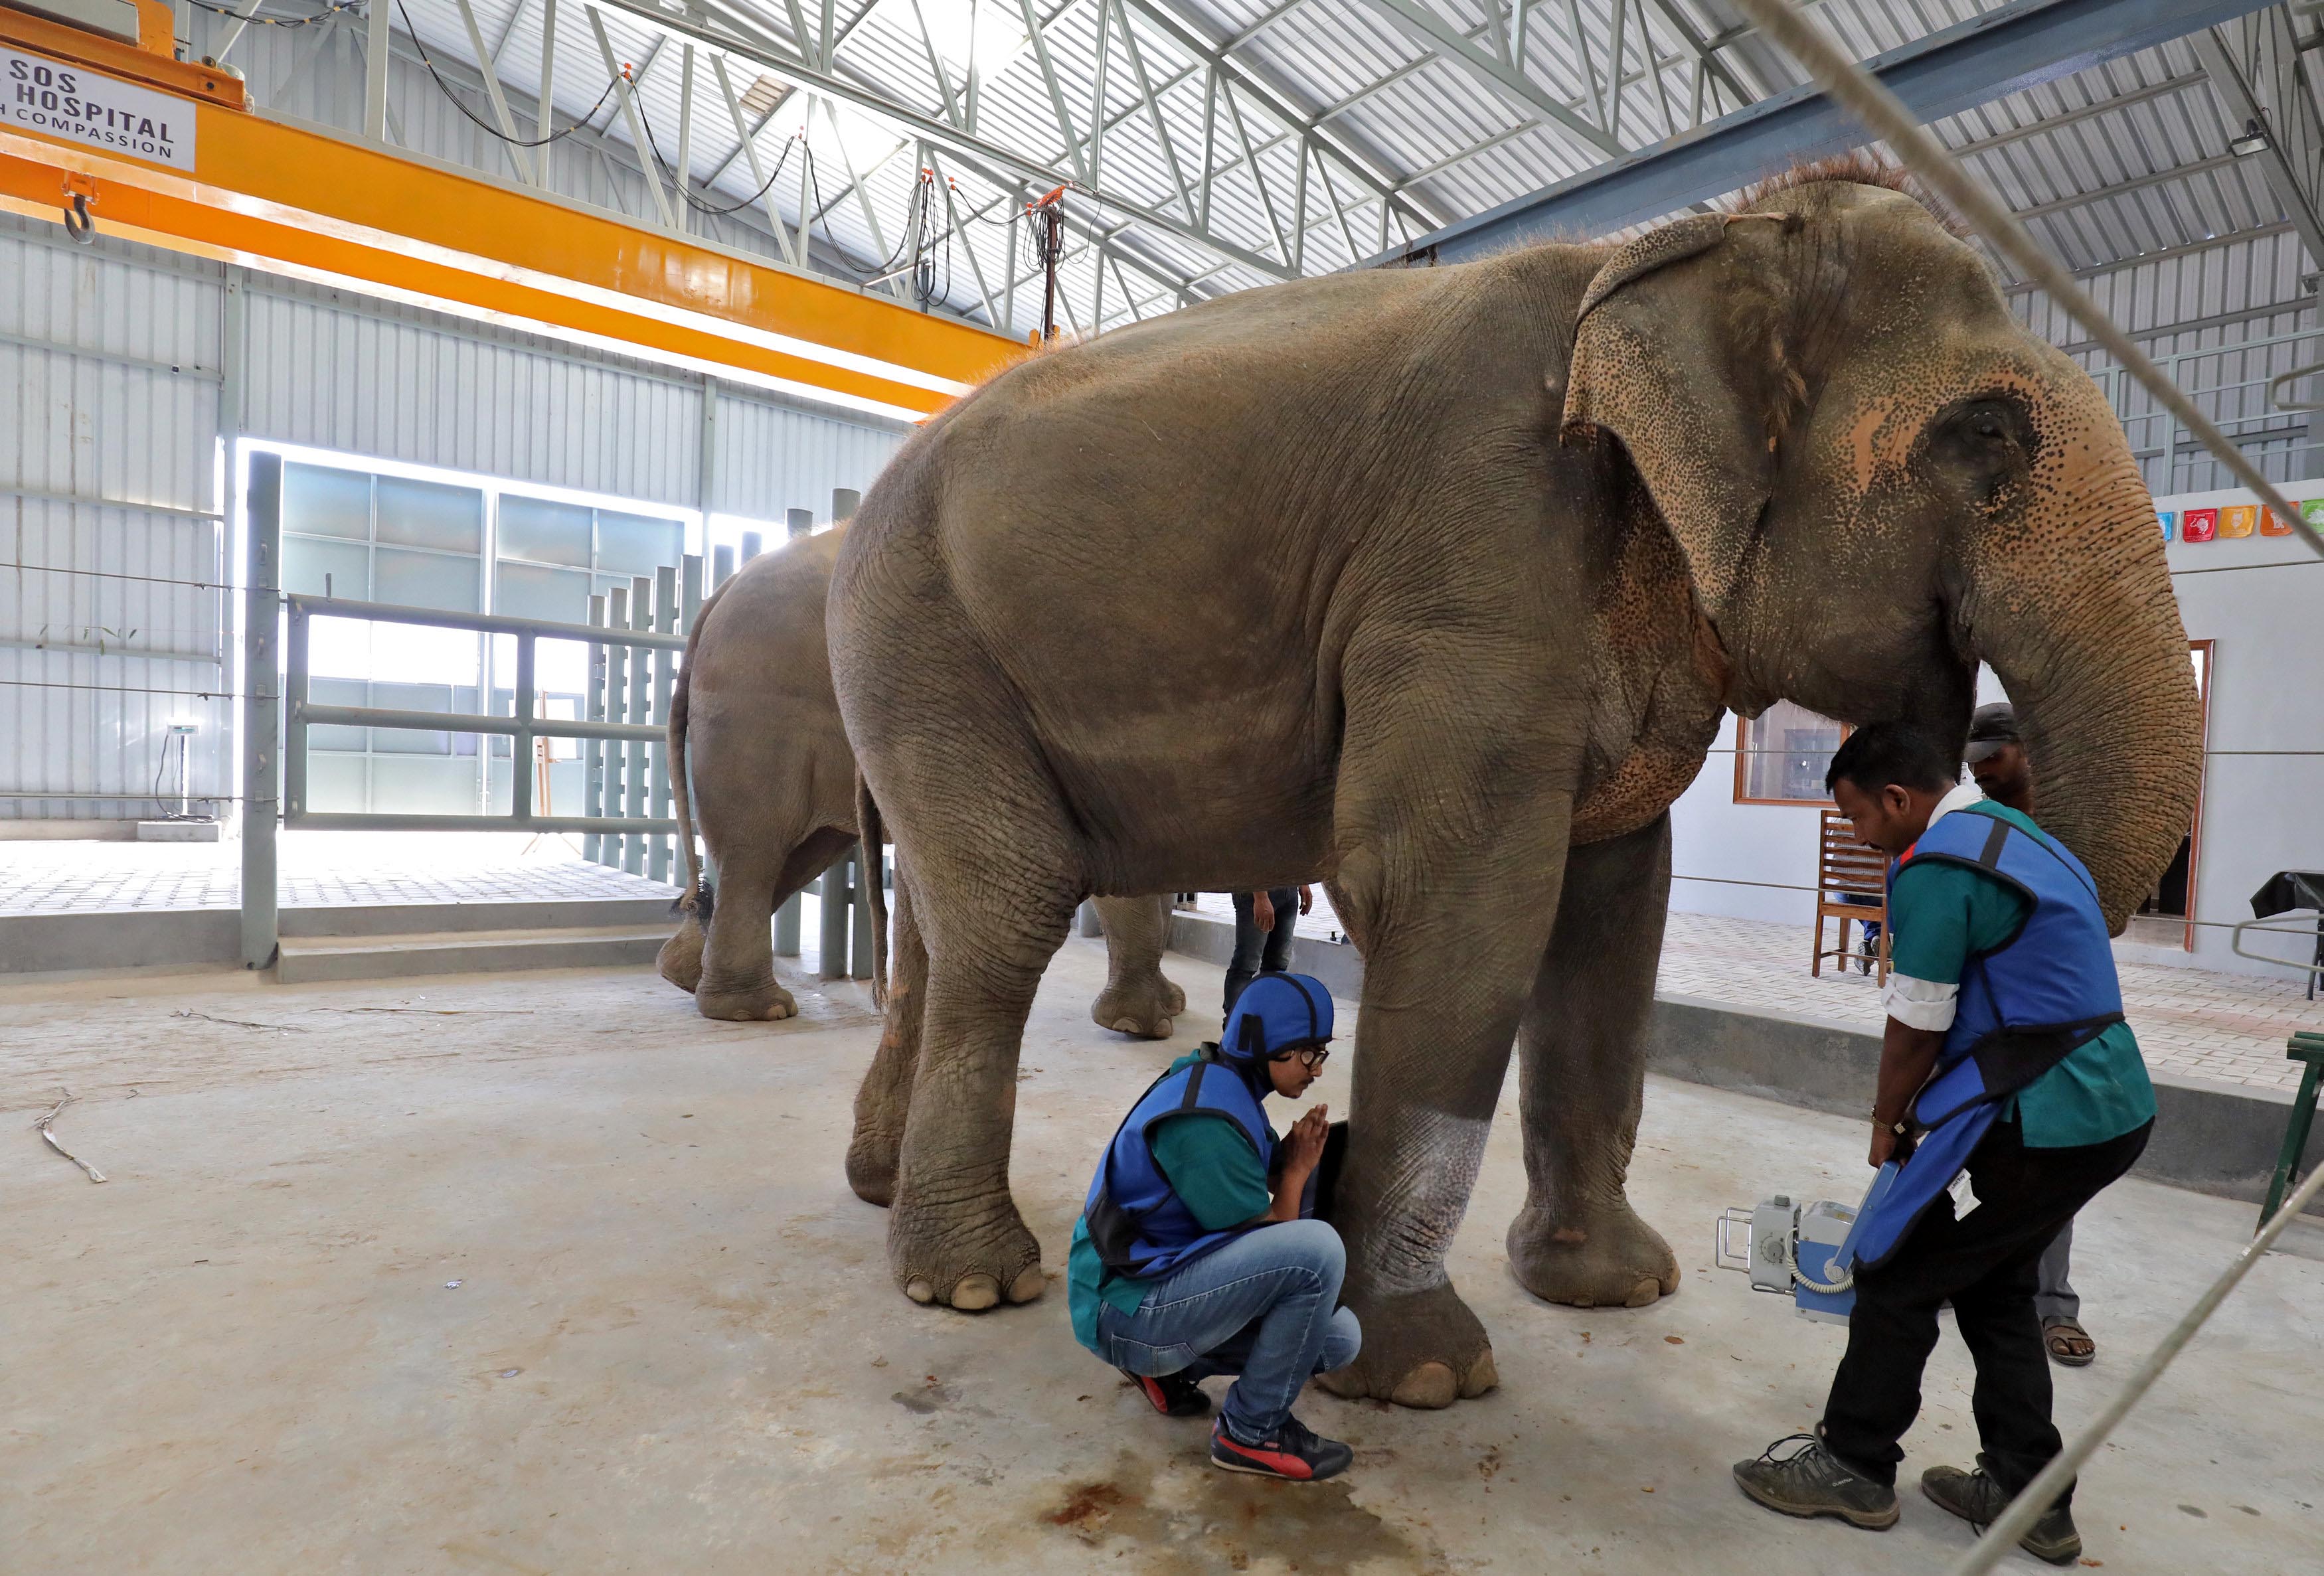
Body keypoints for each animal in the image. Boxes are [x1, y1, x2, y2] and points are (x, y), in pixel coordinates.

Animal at [665, 534, 1190, 1036]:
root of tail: (721, 592)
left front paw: (1172, 1007)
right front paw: (1144, 1027)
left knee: (801, 854)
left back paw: (684, 975)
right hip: (759, 711)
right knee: (756, 852)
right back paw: (755, 1010)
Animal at [827, 166, 2203, 1413]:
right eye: (1990, 432)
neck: (1695, 245)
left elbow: (1615, 911)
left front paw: (1615, 1289)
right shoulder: (1474, 551)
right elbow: (1452, 899)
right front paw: (1426, 1377)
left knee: (938, 923)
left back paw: (881, 1193)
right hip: (922, 640)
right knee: (1005, 913)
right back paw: (969, 1283)